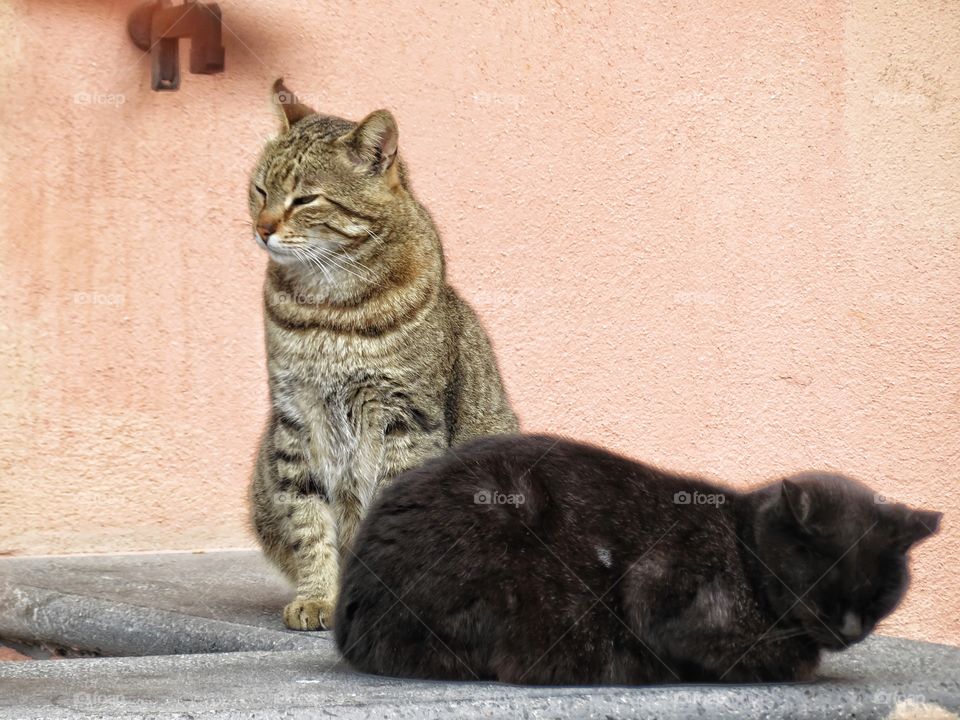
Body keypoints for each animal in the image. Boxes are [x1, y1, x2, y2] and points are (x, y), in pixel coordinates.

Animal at [248, 80, 516, 632]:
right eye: (260, 190)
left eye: (305, 198)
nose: (263, 228)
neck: (328, 310)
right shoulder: (294, 420)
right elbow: (310, 523)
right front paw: (318, 597)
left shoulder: (405, 418)